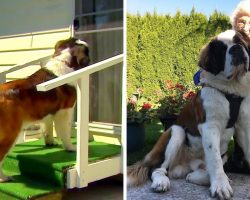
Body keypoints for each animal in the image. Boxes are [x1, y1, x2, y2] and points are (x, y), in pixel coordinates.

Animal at [0, 37, 90, 181]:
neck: (63, 61)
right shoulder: (65, 111)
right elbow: (64, 133)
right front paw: (70, 147)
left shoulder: (48, 112)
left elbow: (47, 127)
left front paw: (50, 142)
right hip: (11, 133)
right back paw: (4, 177)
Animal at [128, 29, 250, 200]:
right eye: (221, 49)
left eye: (240, 41)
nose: (236, 49)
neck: (231, 90)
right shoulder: (209, 127)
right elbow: (215, 161)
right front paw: (220, 186)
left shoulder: (244, 127)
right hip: (175, 132)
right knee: (157, 169)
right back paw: (161, 182)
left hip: (217, 156)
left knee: (199, 171)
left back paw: (195, 176)